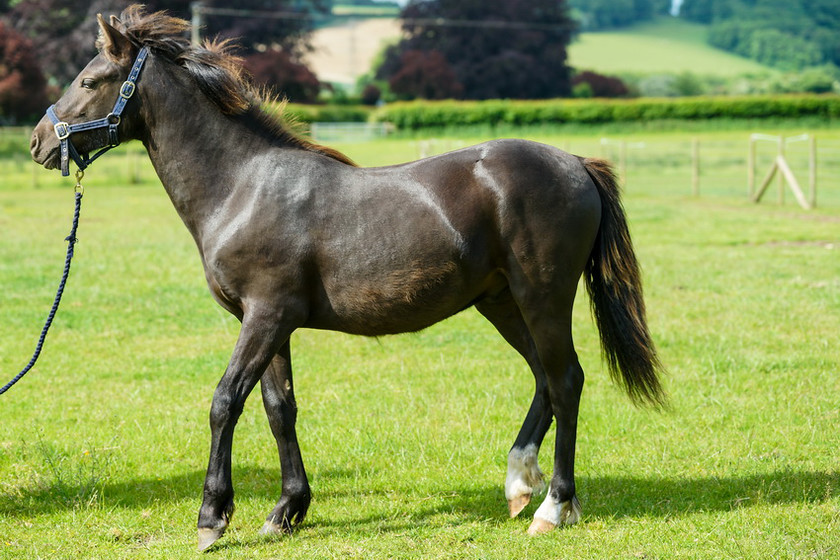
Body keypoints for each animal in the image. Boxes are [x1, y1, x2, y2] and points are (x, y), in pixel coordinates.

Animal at [29, 5, 668, 552]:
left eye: (90, 80)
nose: (37, 141)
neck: (243, 185)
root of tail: (577, 163)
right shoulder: (271, 323)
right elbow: (278, 408)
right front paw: (286, 511)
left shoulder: (265, 317)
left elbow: (225, 401)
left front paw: (213, 517)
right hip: (502, 302)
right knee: (543, 378)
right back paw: (518, 484)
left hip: (543, 297)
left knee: (565, 380)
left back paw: (553, 508)